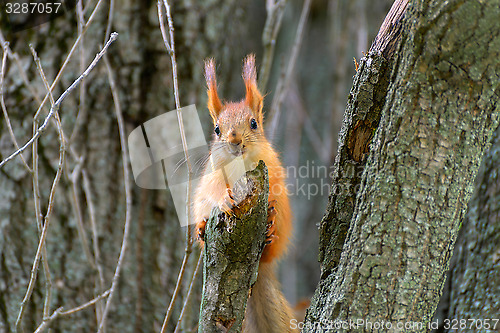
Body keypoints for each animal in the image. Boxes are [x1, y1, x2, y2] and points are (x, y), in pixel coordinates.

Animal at [194, 54, 296, 332]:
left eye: (253, 123)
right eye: (217, 129)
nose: (234, 140)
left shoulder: (272, 170)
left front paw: (270, 213)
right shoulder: (212, 176)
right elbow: (214, 192)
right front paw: (224, 200)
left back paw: (270, 230)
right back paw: (201, 227)